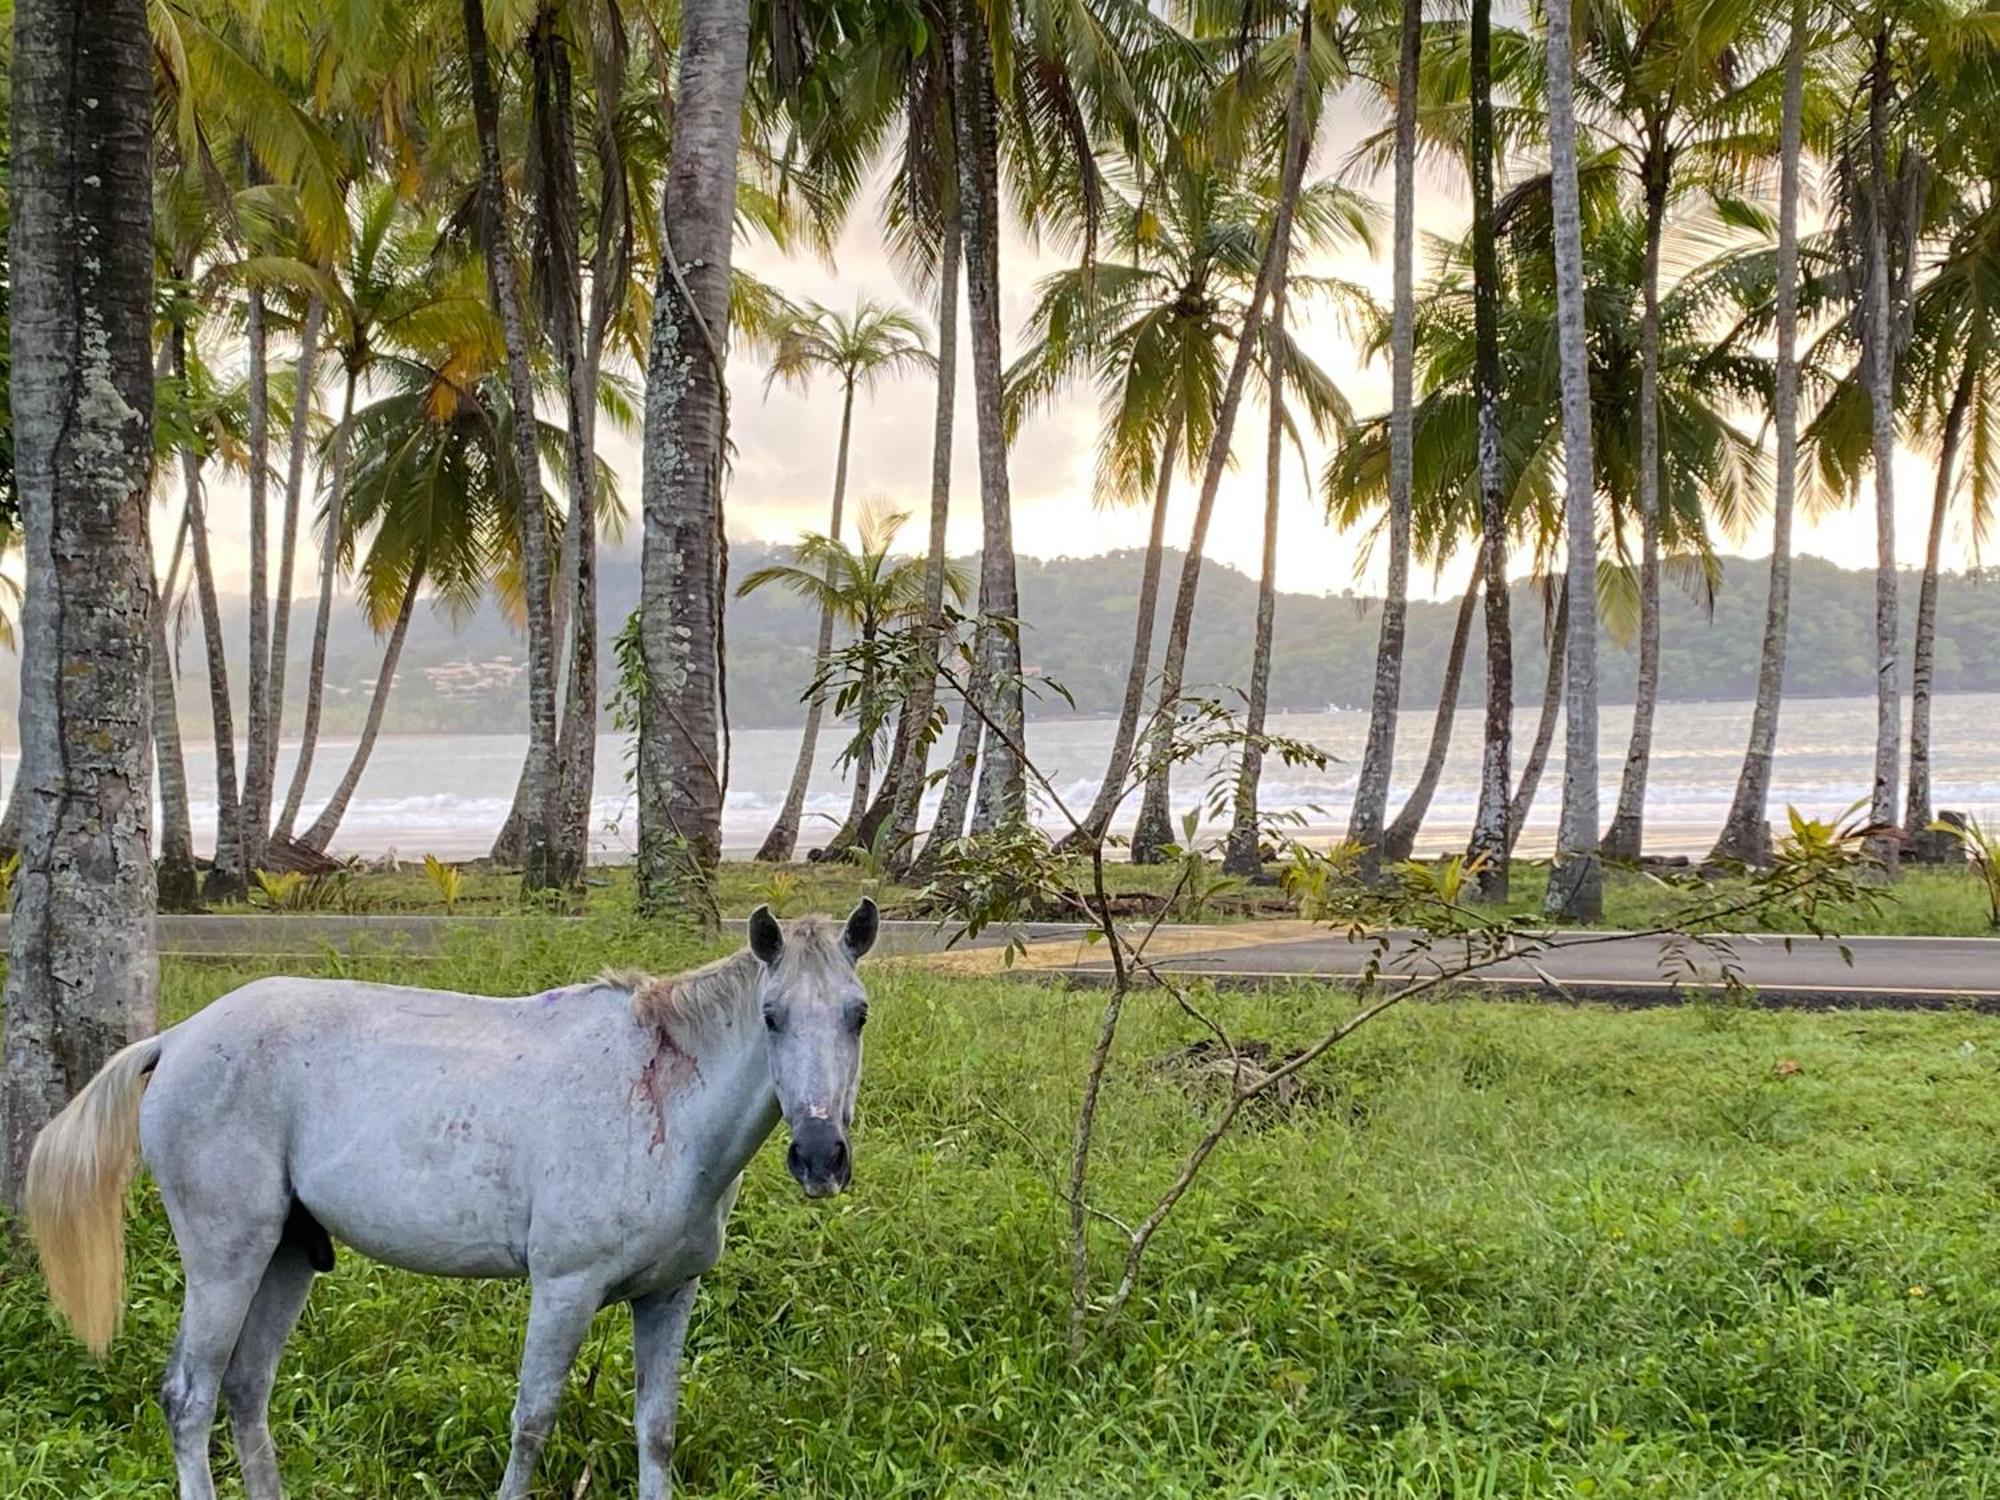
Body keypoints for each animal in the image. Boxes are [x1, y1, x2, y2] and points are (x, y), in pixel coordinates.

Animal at [19, 904, 872, 1500]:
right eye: (771, 1016)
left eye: (857, 1014)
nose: (819, 1157)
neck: (658, 1094)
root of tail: (178, 1039)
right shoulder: (563, 1290)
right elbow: (531, 1424)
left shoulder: (668, 1295)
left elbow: (656, 1430)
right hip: (227, 1258)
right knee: (189, 1398)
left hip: (286, 1258)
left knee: (245, 1389)